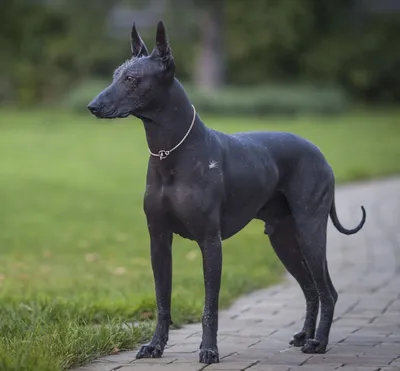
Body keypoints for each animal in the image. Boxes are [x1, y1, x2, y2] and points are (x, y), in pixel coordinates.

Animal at [87, 21, 366, 364]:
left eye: (131, 79)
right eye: (116, 75)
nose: (92, 106)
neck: (170, 152)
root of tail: (321, 154)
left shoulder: (210, 242)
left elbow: (210, 306)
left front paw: (209, 349)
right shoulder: (158, 241)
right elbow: (162, 300)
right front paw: (155, 345)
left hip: (310, 231)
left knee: (328, 292)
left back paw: (319, 342)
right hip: (284, 239)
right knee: (312, 289)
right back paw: (304, 335)